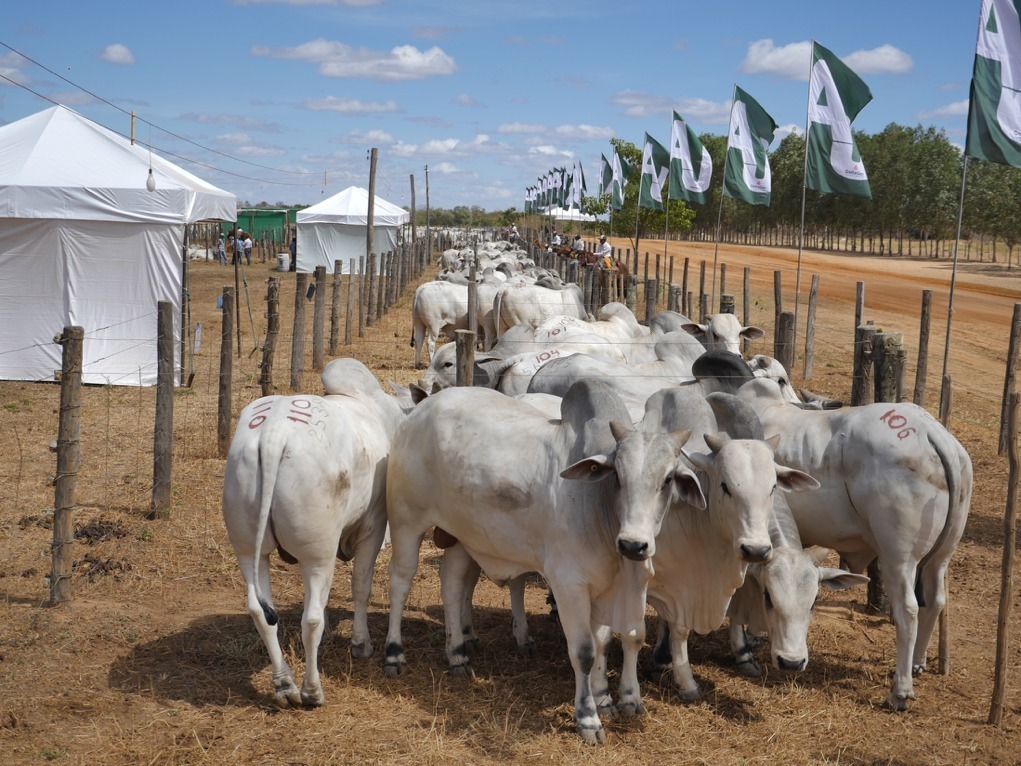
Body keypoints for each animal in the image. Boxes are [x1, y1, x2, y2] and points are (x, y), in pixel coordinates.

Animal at [221, 363, 404, 710]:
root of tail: (274, 434)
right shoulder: (373, 526)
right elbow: (361, 587)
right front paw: (361, 643)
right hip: (317, 555)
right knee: (311, 619)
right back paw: (311, 690)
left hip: (249, 550)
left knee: (261, 612)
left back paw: (284, 685)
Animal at [379, 381, 706, 747]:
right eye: (618, 477)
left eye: (668, 479)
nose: (633, 544)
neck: (598, 510)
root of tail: (420, 410)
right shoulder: (568, 585)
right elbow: (584, 651)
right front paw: (588, 718)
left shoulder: (608, 587)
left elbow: (609, 641)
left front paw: (607, 699)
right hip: (407, 521)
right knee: (400, 581)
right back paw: (394, 653)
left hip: (463, 536)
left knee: (451, 583)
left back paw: (458, 655)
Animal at [735, 379, 971, 714]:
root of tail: (934, 433)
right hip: (941, 557)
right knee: (935, 601)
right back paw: (917, 663)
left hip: (899, 557)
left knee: (908, 609)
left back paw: (900, 691)